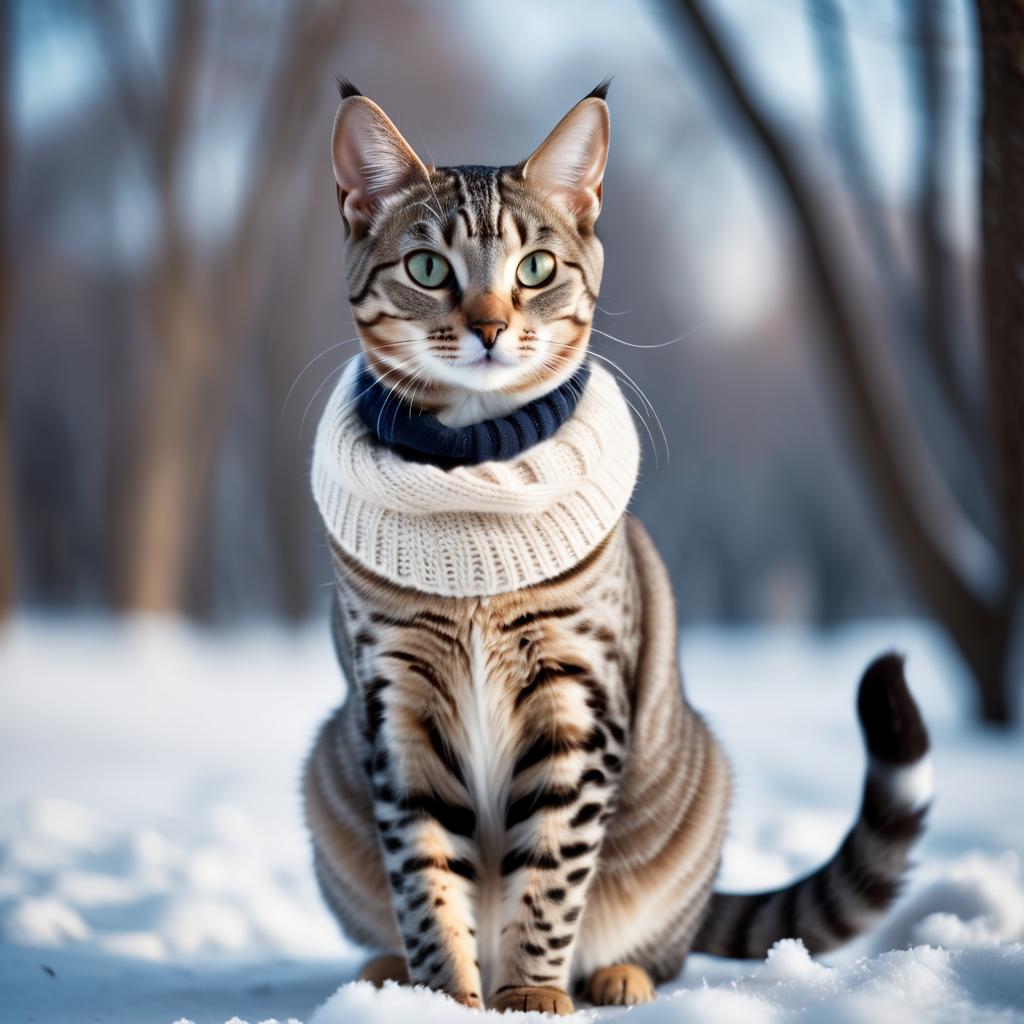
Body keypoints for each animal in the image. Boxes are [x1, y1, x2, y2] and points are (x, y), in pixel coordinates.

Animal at [301, 81, 929, 1015]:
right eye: (427, 269)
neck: (475, 481)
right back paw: (384, 975)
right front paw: (446, 999)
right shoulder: (398, 705)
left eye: (535, 268)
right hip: (326, 773)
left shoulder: (576, 694)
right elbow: (426, 876)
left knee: (663, 947)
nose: (490, 327)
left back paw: (616, 974)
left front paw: (529, 991)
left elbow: (551, 867)